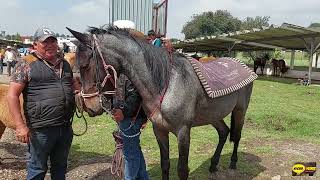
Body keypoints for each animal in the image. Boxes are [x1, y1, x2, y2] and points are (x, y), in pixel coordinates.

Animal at [68, 26, 255, 180]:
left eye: (85, 66)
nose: (90, 107)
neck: (166, 84)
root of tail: (244, 66)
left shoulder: (183, 132)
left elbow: (182, 170)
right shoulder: (159, 130)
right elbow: (165, 165)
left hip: (240, 110)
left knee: (237, 135)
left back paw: (232, 164)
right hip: (213, 115)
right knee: (224, 132)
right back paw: (213, 165)